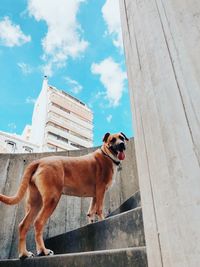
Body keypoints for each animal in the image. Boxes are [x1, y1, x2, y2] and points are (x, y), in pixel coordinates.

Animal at [0, 133, 128, 258]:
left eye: (121, 138)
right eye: (112, 140)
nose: (122, 144)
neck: (107, 154)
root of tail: (39, 161)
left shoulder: (96, 194)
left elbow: (91, 210)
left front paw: (92, 221)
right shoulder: (101, 189)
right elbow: (99, 209)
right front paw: (102, 220)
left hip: (35, 203)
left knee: (23, 225)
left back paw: (24, 253)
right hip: (52, 199)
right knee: (38, 222)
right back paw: (43, 251)